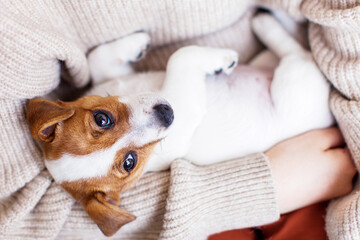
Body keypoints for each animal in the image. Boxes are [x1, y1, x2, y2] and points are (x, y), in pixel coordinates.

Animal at [26, 14, 334, 236]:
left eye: (103, 118)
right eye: (129, 162)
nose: (166, 114)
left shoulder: (111, 80)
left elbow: (96, 58)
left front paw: (135, 43)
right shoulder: (184, 101)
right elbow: (181, 56)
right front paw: (221, 59)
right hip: (294, 81)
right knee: (296, 51)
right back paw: (266, 23)